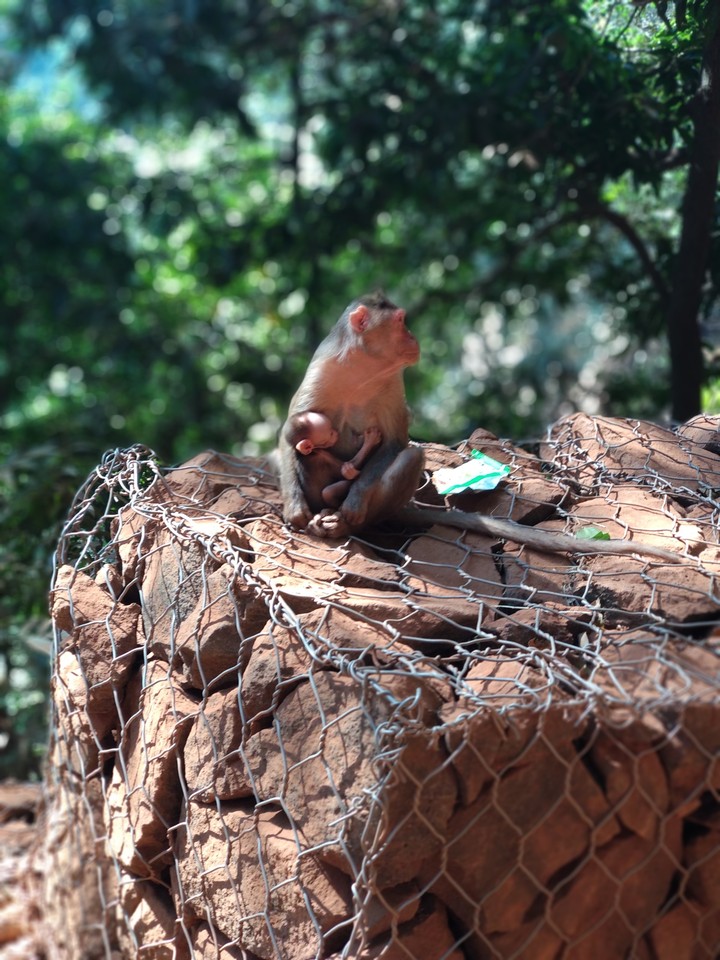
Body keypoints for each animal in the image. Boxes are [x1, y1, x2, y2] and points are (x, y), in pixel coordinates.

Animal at [278, 292, 683, 563]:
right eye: (401, 322)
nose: (413, 338)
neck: (362, 369)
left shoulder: (393, 383)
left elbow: (394, 443)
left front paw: (355, 502)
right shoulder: (324, 368)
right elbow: (289, 435)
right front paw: (294, 507)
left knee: (410, 457)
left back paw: (344, 520)